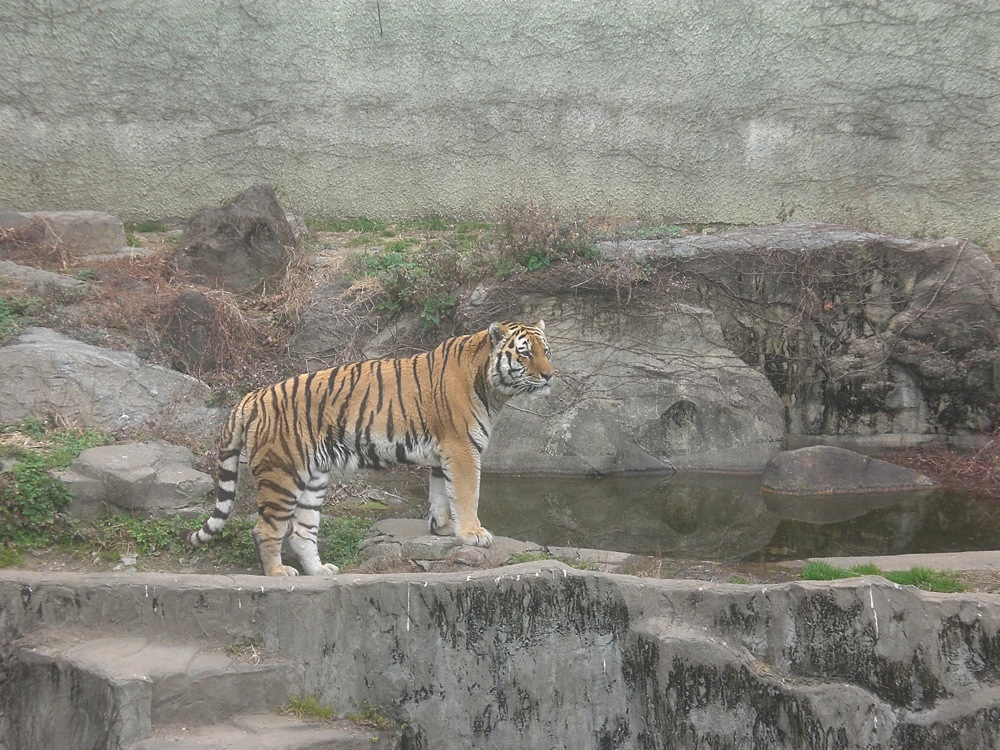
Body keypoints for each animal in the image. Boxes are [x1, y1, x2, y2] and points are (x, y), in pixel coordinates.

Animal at [183, 320, 554, 576]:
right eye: (524, 352)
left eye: (545, 351)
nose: (550, 376)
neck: (492, 388)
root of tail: (252, 397)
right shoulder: (462, 448)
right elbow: (466, 494)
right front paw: (473, 533)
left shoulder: (443, 454)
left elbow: (440, 494)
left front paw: (443, 529)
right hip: (282, 474)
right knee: (265, 529)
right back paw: (278, 573)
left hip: (313, 477)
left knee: (301, 531)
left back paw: (319, 571)